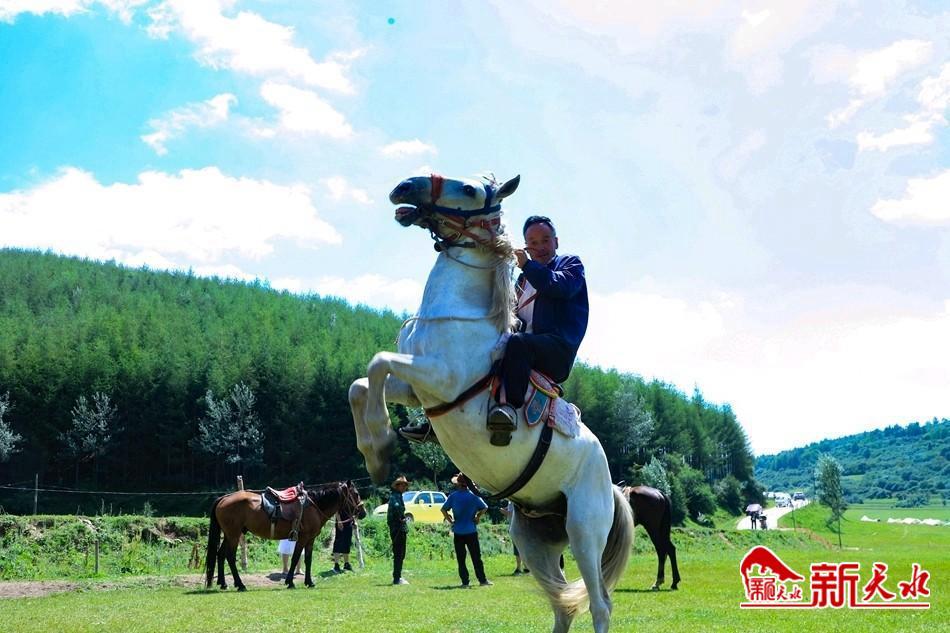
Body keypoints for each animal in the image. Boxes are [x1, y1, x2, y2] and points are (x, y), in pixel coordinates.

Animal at [204, 480, 366, 591]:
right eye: (356, 494)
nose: (363, 512)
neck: (314, 505)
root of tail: (224, 498)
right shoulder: (303, 538)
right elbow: (295, 558)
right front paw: (290, 582)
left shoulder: (310, 540)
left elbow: (308, 560)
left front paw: (309, 582)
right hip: (234, 535)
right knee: (229, 557)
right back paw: (240, 584)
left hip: (229, 534)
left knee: (220, 554)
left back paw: (223, 583)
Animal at [348, 173, 634, 633]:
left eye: (468, 189)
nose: (404, 186)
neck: (460, 316)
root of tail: (610, 483)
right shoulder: (416, 387)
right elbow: (361, 384)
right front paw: (376, 454)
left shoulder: (441, 377)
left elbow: (377, 363)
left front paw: (381, 443)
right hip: (534, 541)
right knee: (562, 603)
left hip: (585, 532)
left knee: (600, 603)